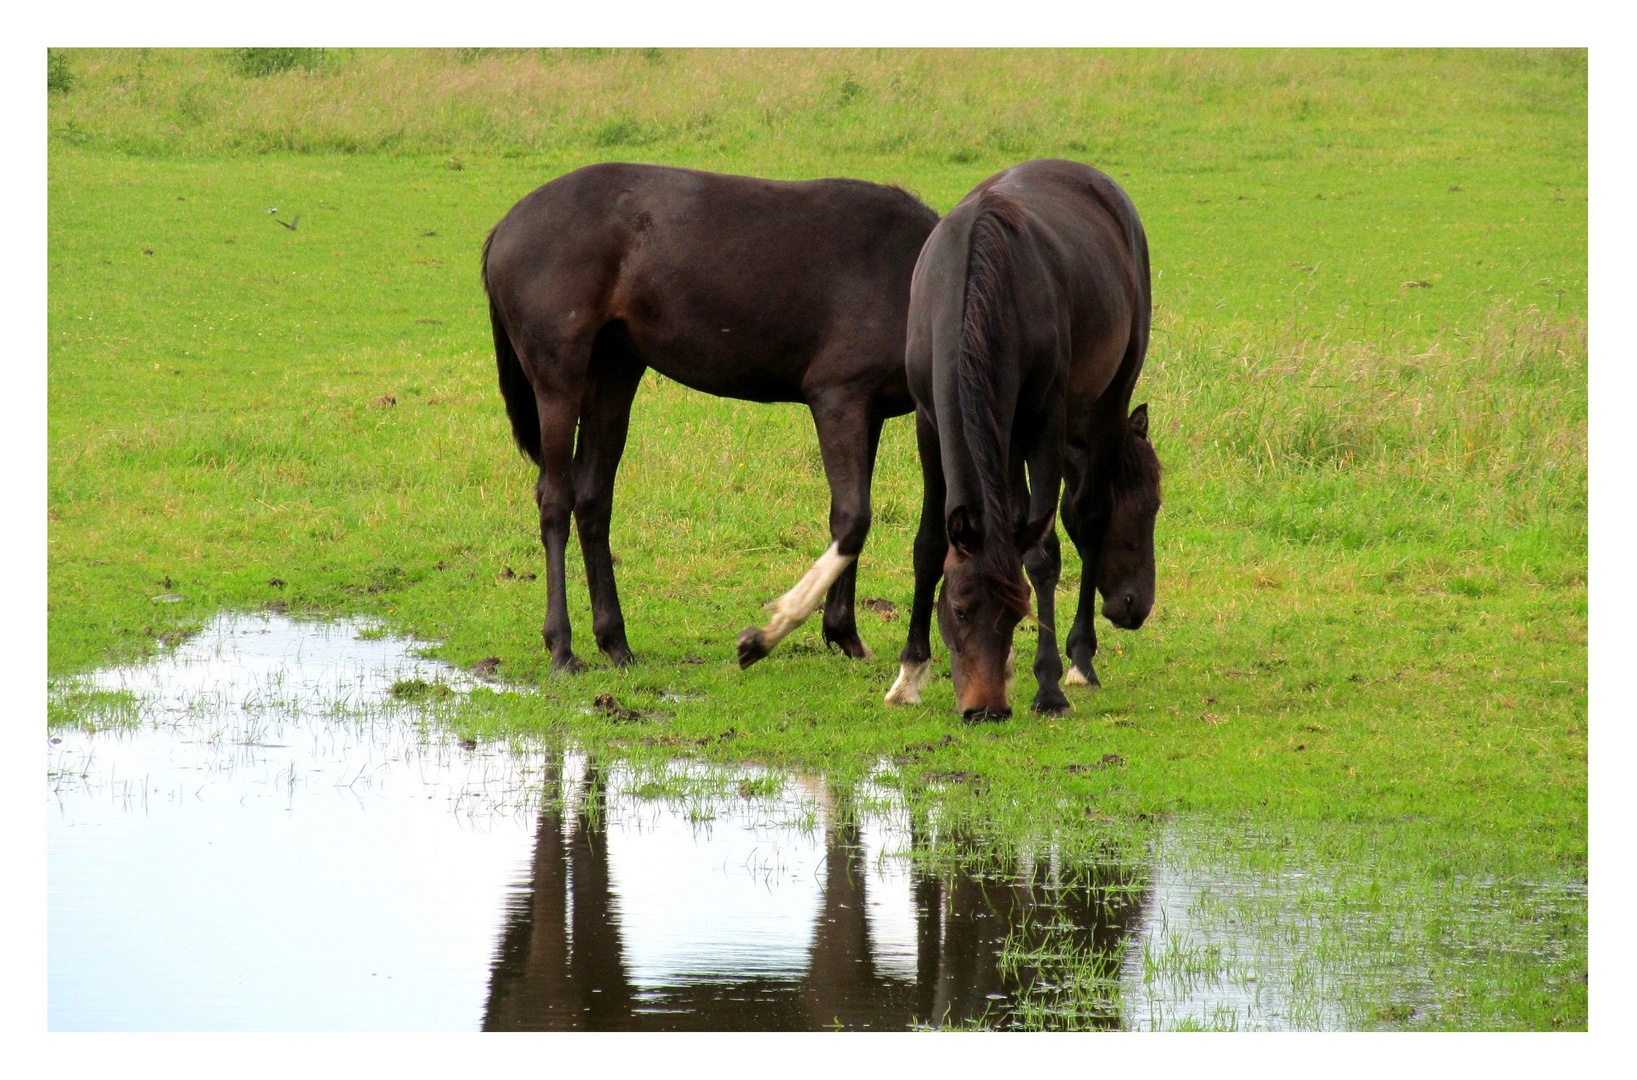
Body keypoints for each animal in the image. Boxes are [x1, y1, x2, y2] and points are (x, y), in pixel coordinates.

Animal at [481, 163, 936, 670]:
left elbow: (850, 521)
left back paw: (616, 642)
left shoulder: (868, 412)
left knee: (593, 499)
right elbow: (852, 518)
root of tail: (507, 226)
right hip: (559, 382)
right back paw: (561, 647)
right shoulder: (839, 400)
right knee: (555, 501)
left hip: (614, 373)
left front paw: (844, 634)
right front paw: (773, 635)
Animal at [883, 160, 1165, 720]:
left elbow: (1043, 554)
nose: (986, 710)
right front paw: (910, 671)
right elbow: (929, 545)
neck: (975, 287)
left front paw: (1049, 685)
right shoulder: (928, 420)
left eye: (1018, 611)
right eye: (960, 608)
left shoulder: (1043, 426)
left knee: (1089, 514)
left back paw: (1081, 659)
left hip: (1109, 396)